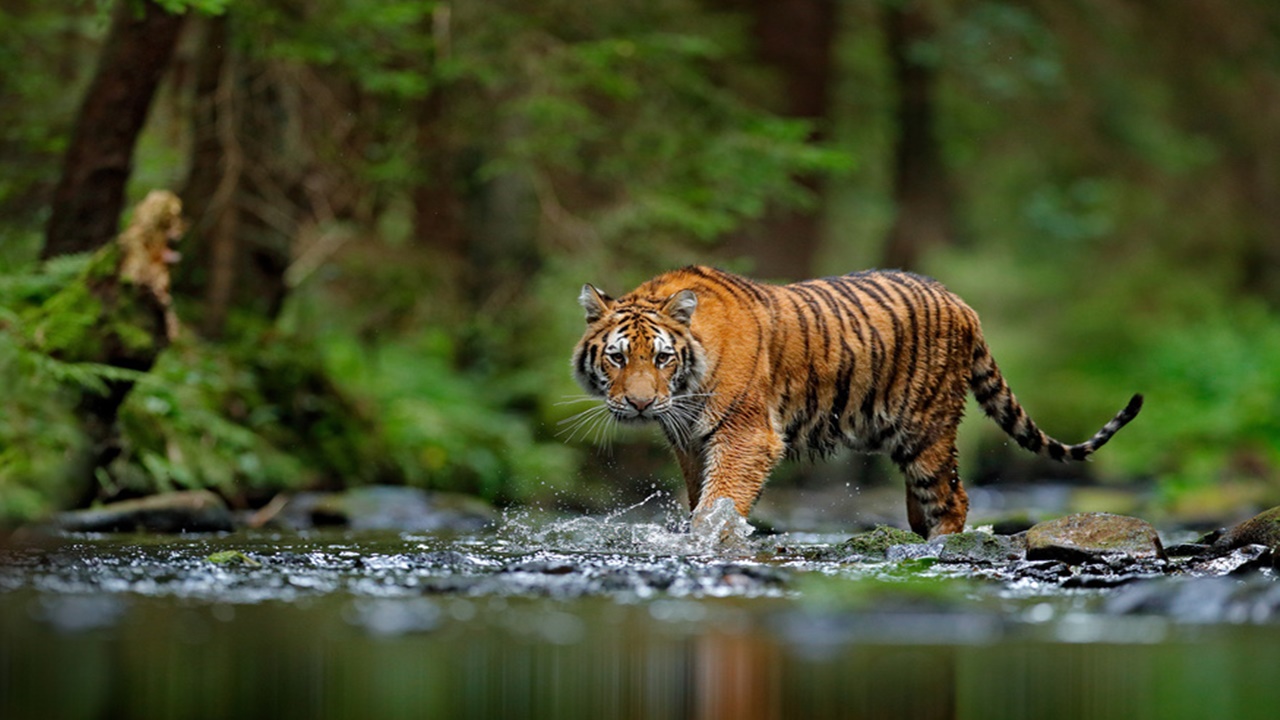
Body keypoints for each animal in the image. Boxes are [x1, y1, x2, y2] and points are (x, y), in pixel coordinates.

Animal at [570, 266, 1141, 535]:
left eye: (662, 358)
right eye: (618, 358)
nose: (640, 405)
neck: (685, 391)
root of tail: (962, 303)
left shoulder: (746, 435)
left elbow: (718, 502)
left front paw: (709, 539)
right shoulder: (690, 442)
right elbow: (700, 498)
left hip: (926, 430)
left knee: (952, 498)